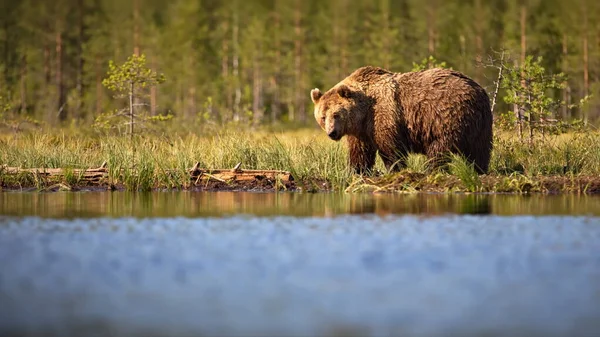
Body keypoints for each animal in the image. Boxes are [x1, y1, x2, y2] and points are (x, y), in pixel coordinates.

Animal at [310, 67, 492, 175]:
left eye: (336, 114)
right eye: (323, 117)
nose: (332, 132)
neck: (363, 111)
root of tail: (477, 89)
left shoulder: (383, 115)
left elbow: (391, 149)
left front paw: (394, 169)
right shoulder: (361, 131)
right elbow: (360, 152)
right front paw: (357, 171)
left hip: (446, 116)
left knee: (439, 148)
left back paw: (431, 169)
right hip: (480, 123)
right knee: (480, 150)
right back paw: (479, 170)